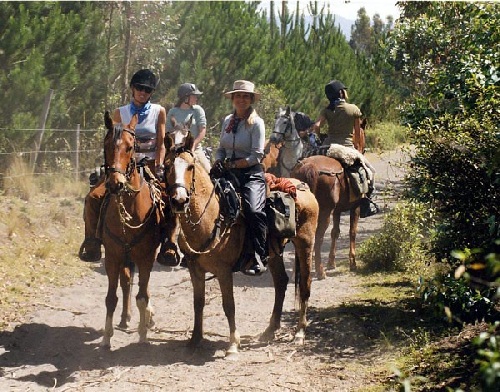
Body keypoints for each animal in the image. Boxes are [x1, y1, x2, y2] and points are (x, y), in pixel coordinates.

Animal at [97, 112, 160, 348]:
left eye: (130, 146)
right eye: (106, 145)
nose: (115, 183)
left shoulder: (146, 256)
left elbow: (142, 296)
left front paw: (142, 333)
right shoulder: (113, 256)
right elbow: (111, 298)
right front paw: (106, 337)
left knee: (143, 288)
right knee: (126, 283)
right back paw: (125, 318)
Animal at [164, 132, 320, 358]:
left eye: (190, 166)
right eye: (166, 166)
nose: (179, 200)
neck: (213, 215)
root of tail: (302, 186)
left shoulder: (223, 271)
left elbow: (229, 305)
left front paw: (233, 344)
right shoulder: (195, 269)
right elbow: (198, 303)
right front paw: (194, 340)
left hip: (305, 243)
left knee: (305, 285)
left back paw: (299, 333)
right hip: (273, 253)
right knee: (281, 282)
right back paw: (270, 330)